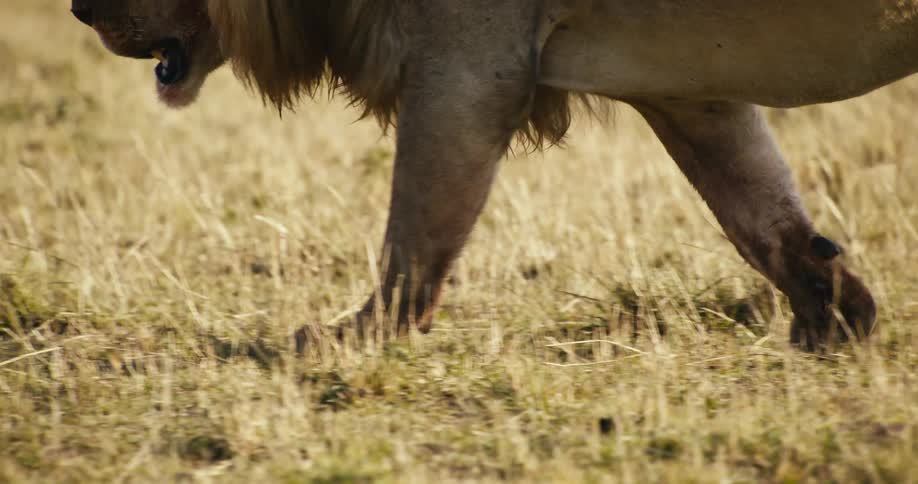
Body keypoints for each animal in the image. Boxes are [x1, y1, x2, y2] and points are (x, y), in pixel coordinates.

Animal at [71, 0, 918, 351]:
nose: (79, 8)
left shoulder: (469, 67)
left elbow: (416, 229)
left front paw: (353, 338)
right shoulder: (689, 92)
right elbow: (760, 209)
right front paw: (834, 321)